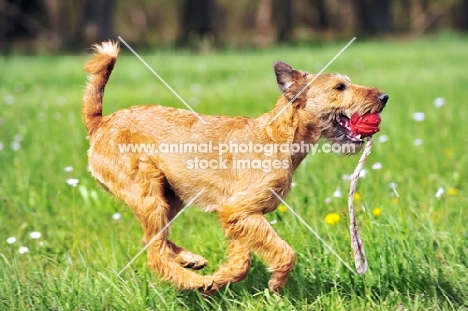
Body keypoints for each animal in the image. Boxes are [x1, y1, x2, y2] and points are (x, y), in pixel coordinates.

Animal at [81, 41, 388, 294]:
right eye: (340, 87)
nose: (384, 97)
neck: (278, 137)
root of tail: (100, 123)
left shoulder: (240, 215)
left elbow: (242, 260)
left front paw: (223, 278)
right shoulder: (240, 209)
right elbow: (285, 252)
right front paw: (275, 282)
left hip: (170, 196)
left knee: (155, 242)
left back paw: (191, 261)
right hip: (148, 191)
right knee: (155, 253)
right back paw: (193, 281)